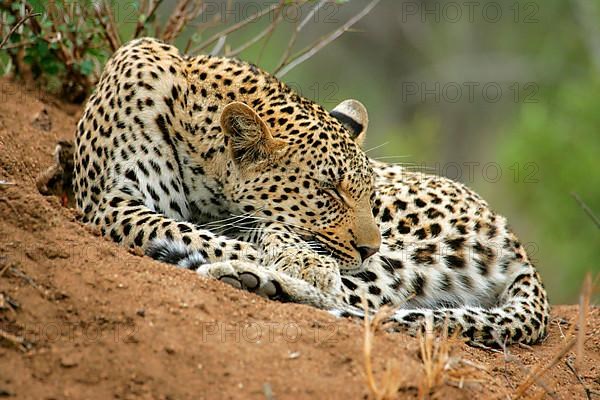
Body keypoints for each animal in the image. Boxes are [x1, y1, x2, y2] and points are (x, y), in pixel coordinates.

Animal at [69, 39, 548, 348]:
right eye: (329, 190)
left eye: (368, 193)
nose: (370, 248)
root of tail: (516, 246)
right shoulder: (114, 203)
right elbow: (193, 231)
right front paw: (288, 260)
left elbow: (253, 231)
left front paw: (298, 261)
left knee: (360, 303)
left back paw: (251, 279)